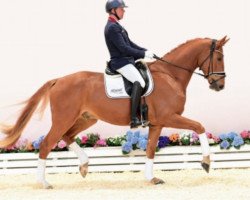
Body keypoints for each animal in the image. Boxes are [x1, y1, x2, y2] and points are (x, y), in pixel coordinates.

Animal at [0, 36, 229, 189]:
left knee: (67, 136)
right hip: (64, 118)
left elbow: (151, 150)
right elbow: (199, 126)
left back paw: (84, 165)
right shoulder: (169, 117)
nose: (220, 86)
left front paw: (151, 179)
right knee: (48, 143)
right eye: (219, 58)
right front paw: (206, 162)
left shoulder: (157, 123)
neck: (170, 75)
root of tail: (58, 80)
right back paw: (44, 182)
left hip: (86, 119)